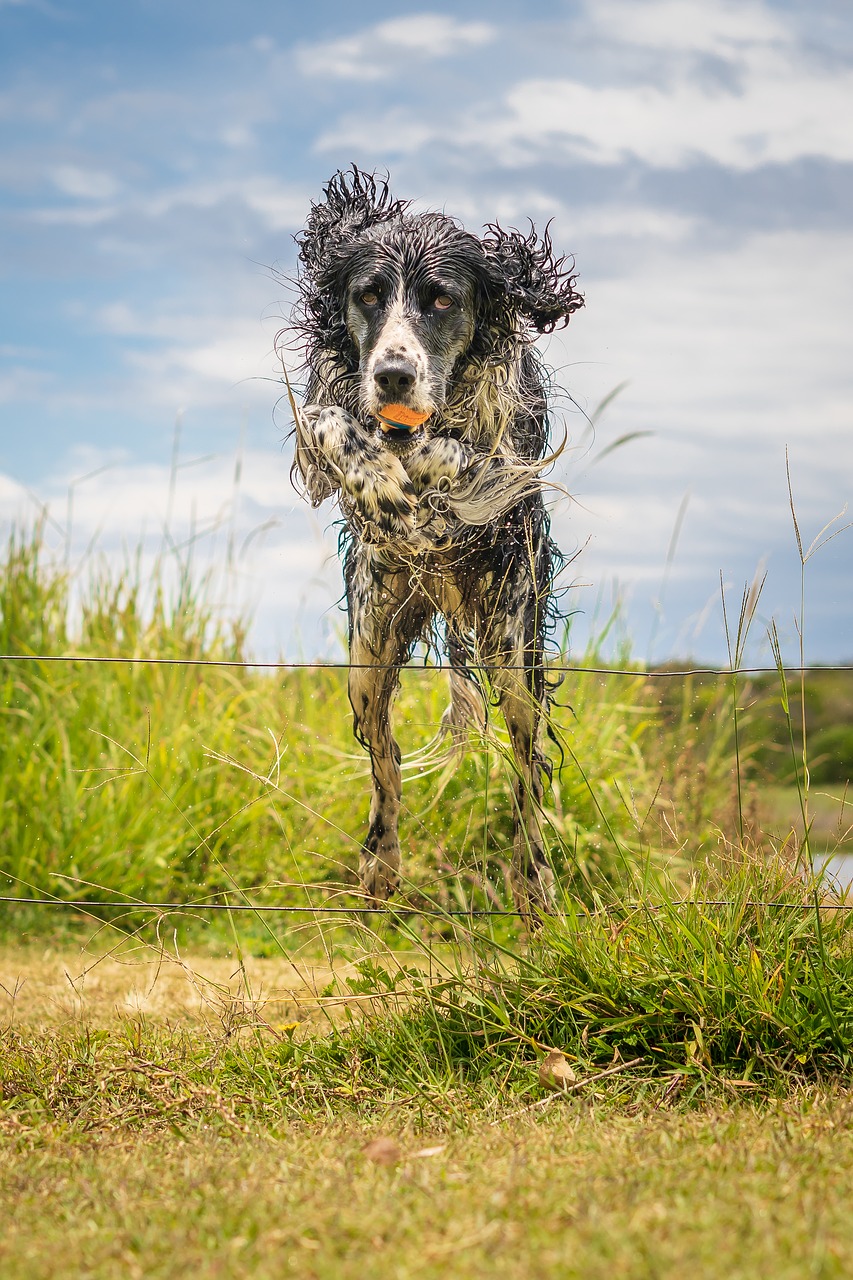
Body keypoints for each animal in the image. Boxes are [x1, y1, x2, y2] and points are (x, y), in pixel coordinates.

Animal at [281, 167, 581, 921]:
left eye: (441, 299)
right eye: (367, 295)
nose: (392, 374)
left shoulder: (511, 450)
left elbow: (466, 456)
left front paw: (422, 464)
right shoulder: (324, 406)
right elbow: (330, 422)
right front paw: (377, 479)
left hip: (513, 653)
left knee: (527, 776)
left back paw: (536, 886)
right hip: (369, 650)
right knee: (383, 758)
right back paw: (381, 864)